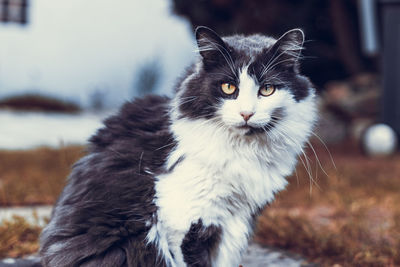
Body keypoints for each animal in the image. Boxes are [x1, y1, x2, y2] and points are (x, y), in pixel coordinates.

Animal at [39, 25, 318, 267]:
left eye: (267, 89)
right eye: (228, 87)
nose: (246, 114)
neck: (243, 151)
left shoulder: (233, 222)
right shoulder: (184, 217)